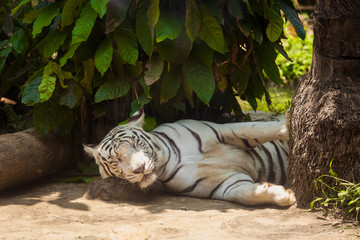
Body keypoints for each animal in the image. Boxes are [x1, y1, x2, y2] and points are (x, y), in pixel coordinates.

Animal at [83, 109, 296, 206]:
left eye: (136, 144)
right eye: (116, 160)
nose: (140, 168)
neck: (170, 160)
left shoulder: (223, 129)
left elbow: (256, 129)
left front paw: (287, 125)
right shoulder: (226, 184)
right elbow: (244, 193)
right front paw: (283, 195)